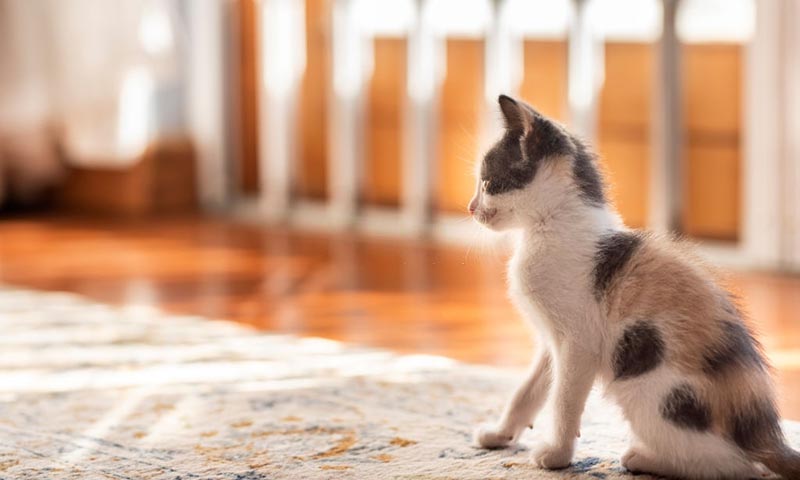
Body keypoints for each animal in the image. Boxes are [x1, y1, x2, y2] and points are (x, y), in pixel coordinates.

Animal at [468, 94, 800, 480]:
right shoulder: (552, 340)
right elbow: (529, 390)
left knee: (738, 467)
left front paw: (557, 456)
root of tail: (764, 435)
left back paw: (641, 458)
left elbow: (564, 399)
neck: (552, 226)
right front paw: (500, 434)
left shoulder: (579, 342)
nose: (471, 208)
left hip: (647, 389)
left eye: (488, 182)